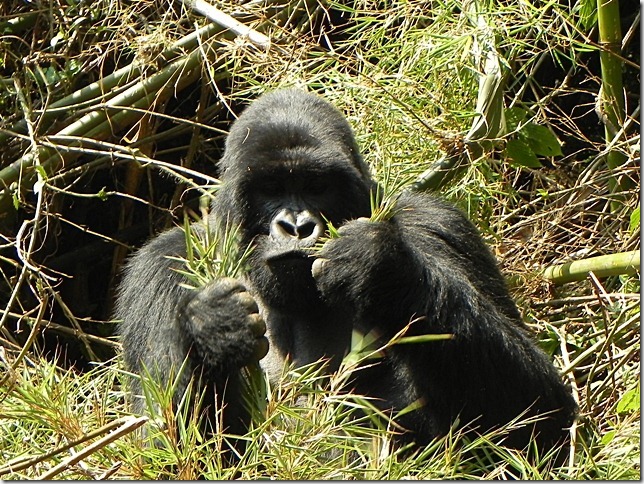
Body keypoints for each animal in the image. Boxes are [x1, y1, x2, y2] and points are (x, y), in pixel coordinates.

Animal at [117, 88, 580, 458]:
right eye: (271, 188)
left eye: (317, 186)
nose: (296, 226)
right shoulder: (161, 263)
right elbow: (164, 447)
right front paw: (214, 324)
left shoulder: (437, 222)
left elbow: (538, 416)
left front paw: (380, 270)